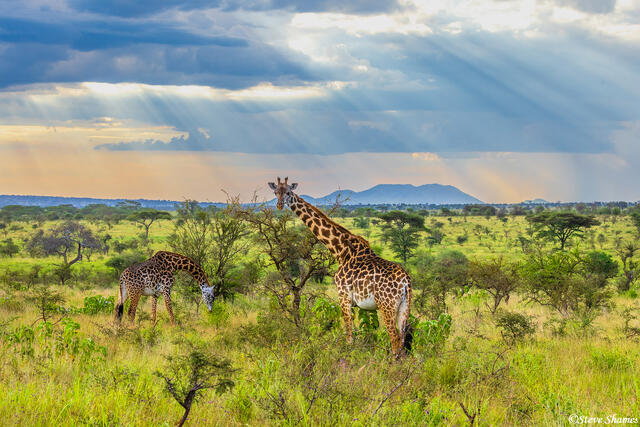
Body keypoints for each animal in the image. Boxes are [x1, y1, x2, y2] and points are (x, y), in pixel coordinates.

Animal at [268, 177, 412, 357]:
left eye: (288, 192)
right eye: (275, 192)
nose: (280, 205)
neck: (341, 251)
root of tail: (405, 282)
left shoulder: (343, 296)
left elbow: (349, 334)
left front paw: (349, 357)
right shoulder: (355, 302)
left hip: (387, 305)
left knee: (394, 338)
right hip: (404, 306)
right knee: (402, 339)